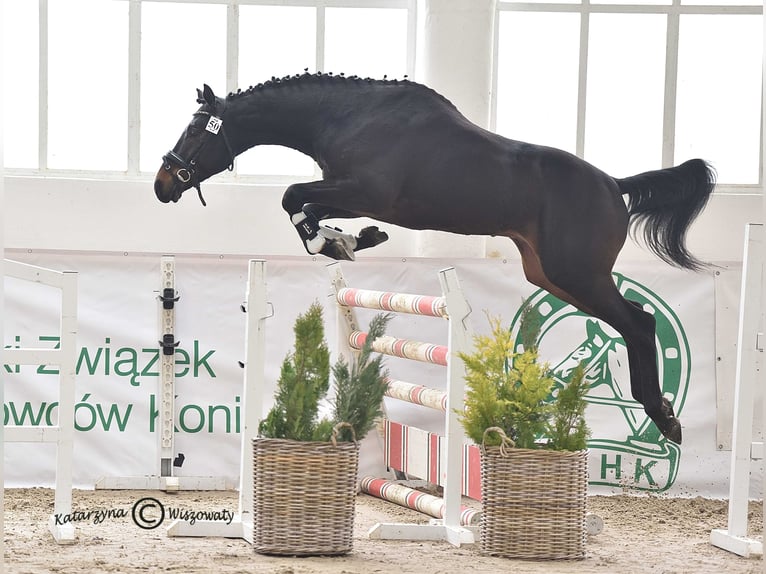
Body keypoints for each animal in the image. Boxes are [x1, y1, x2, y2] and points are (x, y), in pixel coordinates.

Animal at [154, 72, 716, 444]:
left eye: (195, 130)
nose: (163, 185)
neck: (347, 117)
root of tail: (614, 185)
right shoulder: (351, 194)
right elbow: (305, 205)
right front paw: (351, 240)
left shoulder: (365, 192)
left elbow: (295, 198)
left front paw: (334, 241)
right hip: (554, 275)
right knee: (632, 321)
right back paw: (661, 413)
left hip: (577, 273)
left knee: (639, 323)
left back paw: (665, 418)